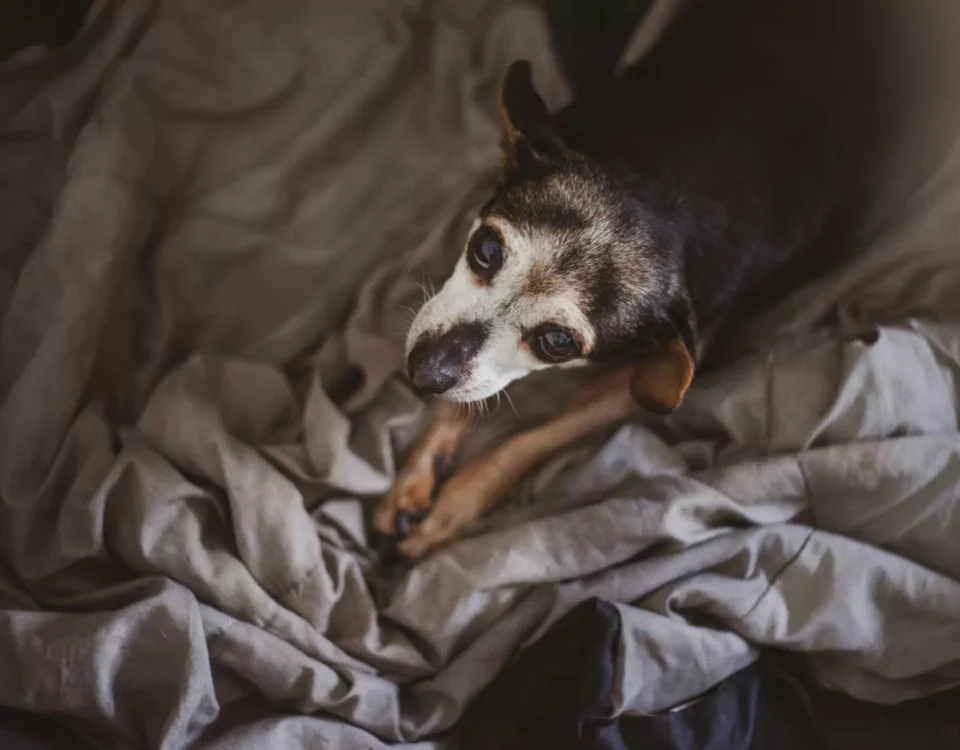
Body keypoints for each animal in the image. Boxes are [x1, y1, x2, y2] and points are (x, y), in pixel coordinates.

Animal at [374, 0, 892, 560]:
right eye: (486, 249)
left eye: (557, 342)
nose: (423, 373)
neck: (663, 184)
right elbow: (468, 394)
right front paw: (417, 478)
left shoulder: (651, 374)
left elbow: (532, 436)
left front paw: (453, 506)